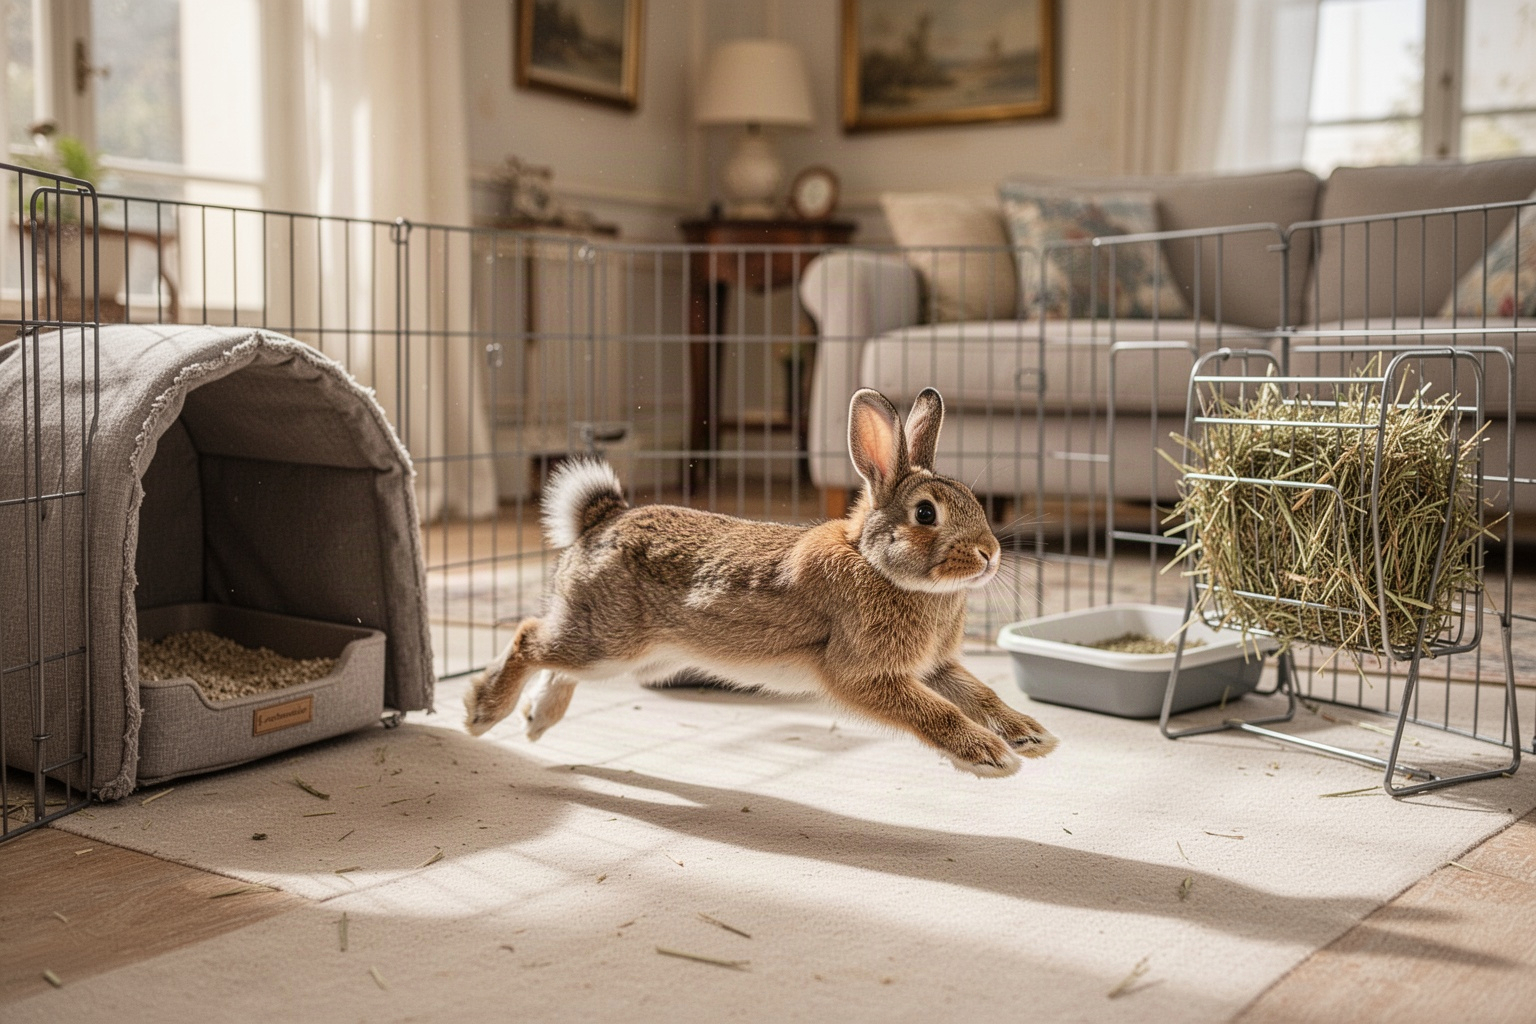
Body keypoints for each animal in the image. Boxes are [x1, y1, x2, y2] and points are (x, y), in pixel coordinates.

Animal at [463, 386, 1058, 777]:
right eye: (926, 514)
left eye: (973, 499)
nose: (989, 554)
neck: (874, 563)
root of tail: (597, 520)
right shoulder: (863, 672)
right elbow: (934, 711)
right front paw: (991, 756)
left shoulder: (935, 666)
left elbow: (979, 692)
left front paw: (1033, 736)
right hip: (609, 642)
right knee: (528, 636)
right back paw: (482, 711)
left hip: (636, 655)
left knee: (553, 656)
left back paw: (538, 718)